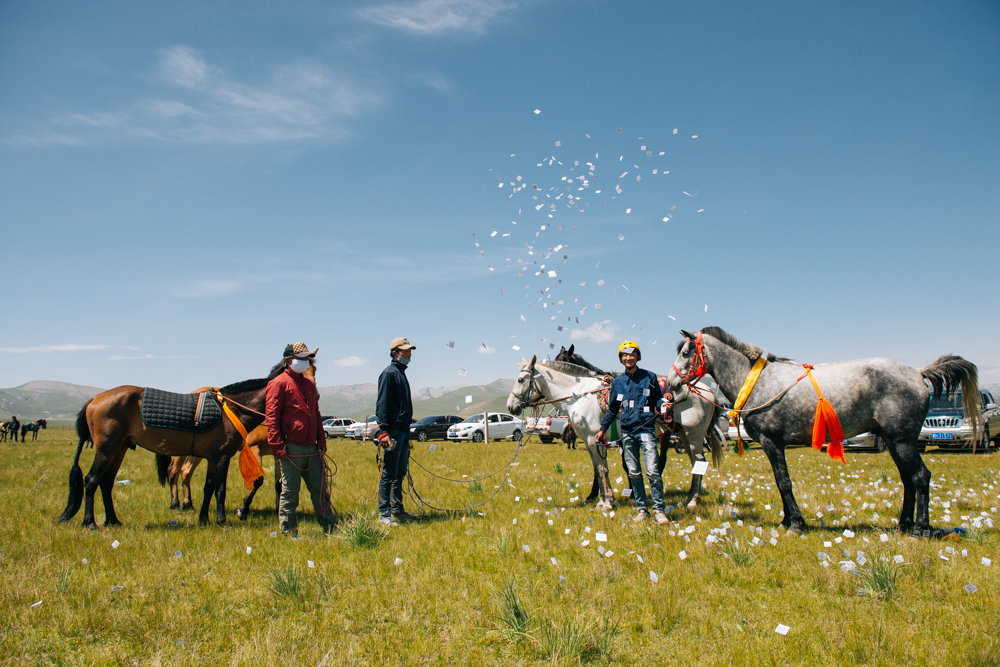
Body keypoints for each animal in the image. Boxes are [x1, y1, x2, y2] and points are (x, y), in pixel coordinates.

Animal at [58, 368, 278, 528]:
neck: (231, 410)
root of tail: (95, 399)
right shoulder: (223, 457)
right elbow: (221, 489)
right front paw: (224, 520)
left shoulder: (213, 457)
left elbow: (209, 488)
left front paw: (204, 519)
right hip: (106, 450)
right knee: (91, 480)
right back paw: (90, 522)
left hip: (120, 449)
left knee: (106, 482)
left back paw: (113, 520)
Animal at [508, 358, 728, 516]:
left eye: (520, 380)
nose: (511, 406)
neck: (579, 394)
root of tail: (707, 391)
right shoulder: (590, 442)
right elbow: (598, 471)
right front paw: (603, 500)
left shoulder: (595, 439)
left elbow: (602, 470)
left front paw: (607, 503)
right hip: (683, 434)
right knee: (695, 463)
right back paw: (690, 498)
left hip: (694, 436)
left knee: (698, 463)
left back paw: (692, 502)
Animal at [668, 324, 980, 536]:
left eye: (685, 352)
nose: (671, 383)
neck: (756, 381)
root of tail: (917, 373)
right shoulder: (773, 446)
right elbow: (780, 483)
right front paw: (787, 520)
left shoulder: (772, 443)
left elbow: (784, 482)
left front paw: (795, 523)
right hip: (894, 441)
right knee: (908, 479)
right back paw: (903, 525)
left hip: (903, 441)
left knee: (920, 476)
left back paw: (920, 529)